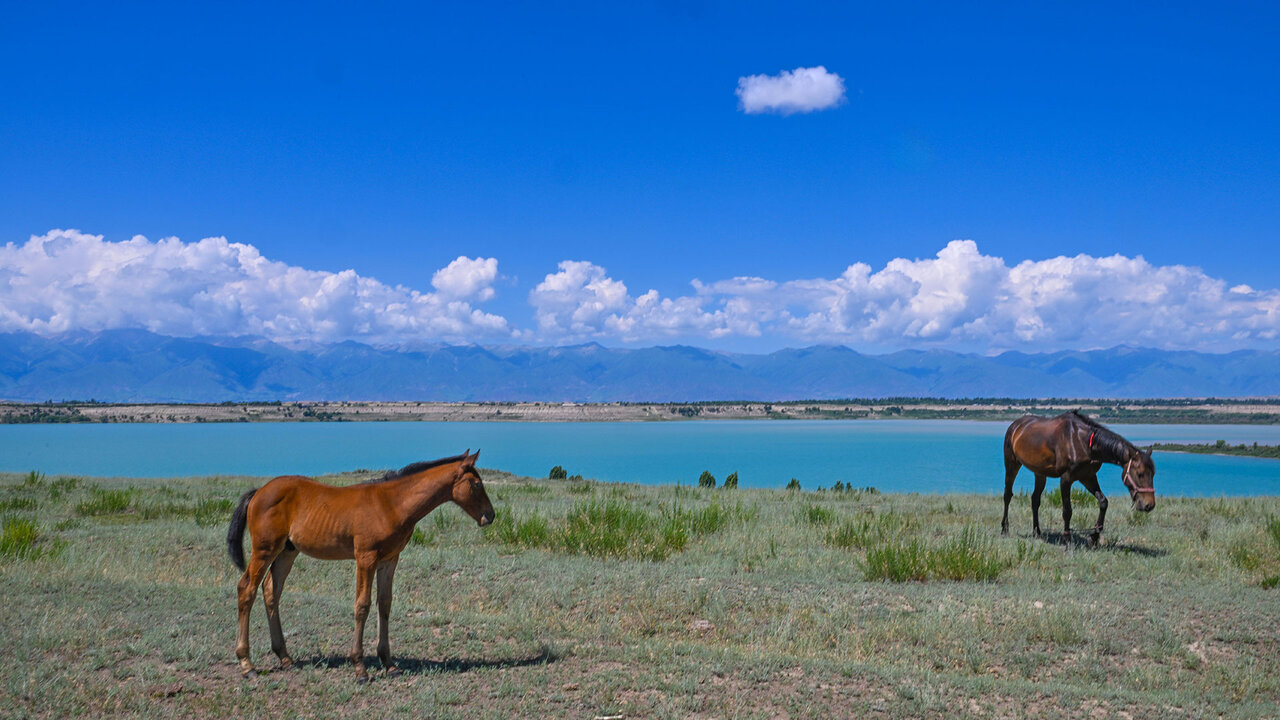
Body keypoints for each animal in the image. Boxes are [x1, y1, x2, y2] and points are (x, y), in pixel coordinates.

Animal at [226, 449, 494, 680]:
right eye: (477, 484)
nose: (490, 516)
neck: (392, 504)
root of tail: (258, 492)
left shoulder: (389, 559)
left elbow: (384, 604)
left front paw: (389, 664)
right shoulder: (366, 557)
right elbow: (362, 605)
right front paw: (360, 668)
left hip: (287, 552)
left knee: (271, 590)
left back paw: (285, 657)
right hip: (265, 550)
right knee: (247, 589)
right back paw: (247, 664)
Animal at [1001, 411, 1155, 546]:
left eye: (1153, 473)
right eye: (1140, 474)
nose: (1149, 505)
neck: (1084, 442)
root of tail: (1015, 425)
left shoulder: (1088, 477)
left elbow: (1103, 502)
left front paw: (1094, 536)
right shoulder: (1066, 479)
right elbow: (1067, 511)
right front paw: (1068, 540)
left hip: (1040, 472)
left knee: (1035, 500)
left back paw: (1037, 532)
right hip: (1012, 464)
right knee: (1008, 495)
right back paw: (1004, 530)